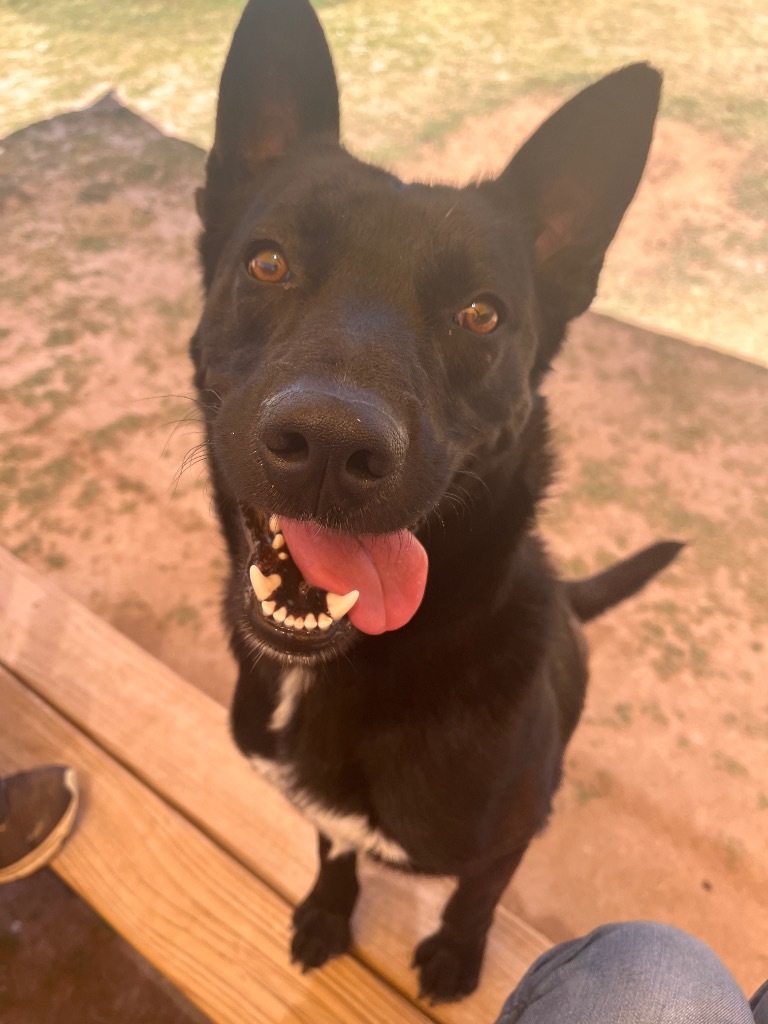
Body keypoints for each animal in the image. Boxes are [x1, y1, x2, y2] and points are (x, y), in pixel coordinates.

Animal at [189, 0, 684, 1003]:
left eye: (481, 315)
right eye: (268, 264)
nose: (330, 446)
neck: (356, 671)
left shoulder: (505, 841)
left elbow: (474, 899)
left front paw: (456, 957)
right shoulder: (326, 820)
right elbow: (336, 853)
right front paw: (328, 913)